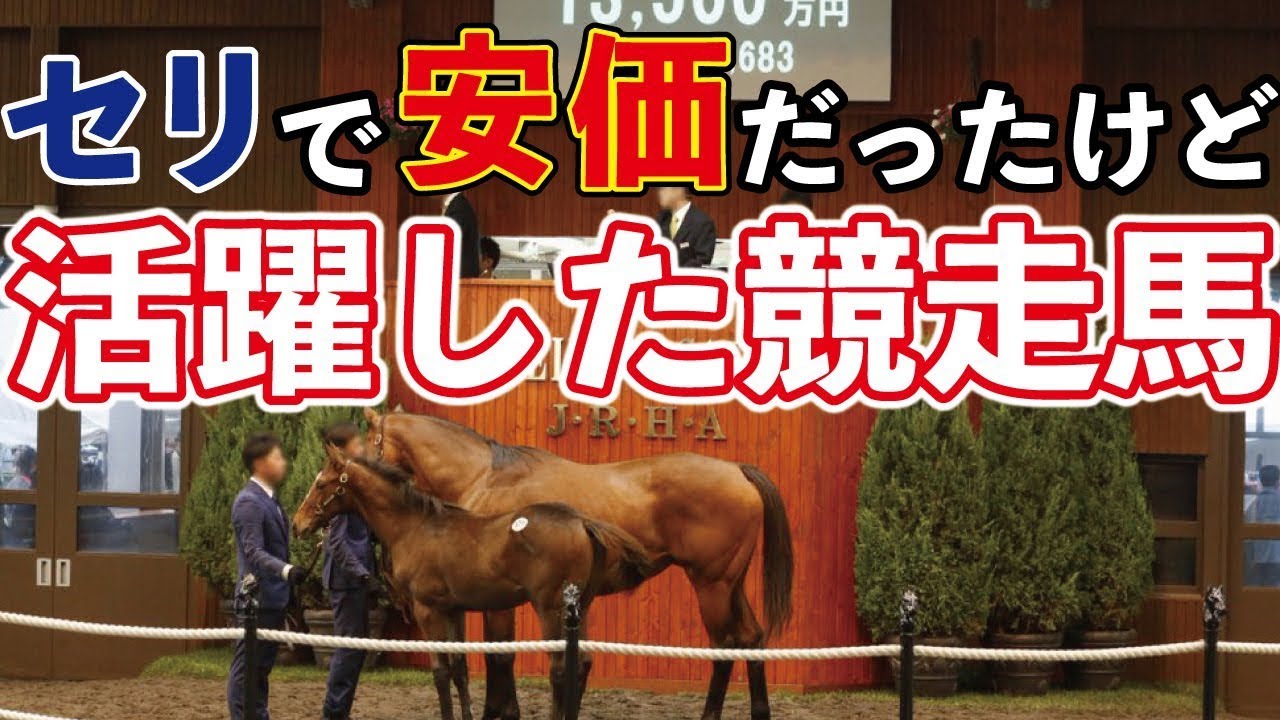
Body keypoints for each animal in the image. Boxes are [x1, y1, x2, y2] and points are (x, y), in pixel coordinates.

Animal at [292, 445, 654, 720]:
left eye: (322, 484)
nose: (298, 524)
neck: (415, 527)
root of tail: (581, 520)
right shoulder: (453, 610)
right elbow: (459, 670)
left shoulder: (428, 611)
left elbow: (440, 673)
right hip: (580, 608)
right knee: (582, 664)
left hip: (550, 608)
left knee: (561, 668)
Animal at [363, 408, 794, 720]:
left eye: (365, 443)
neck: (486, 476)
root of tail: (737, 470)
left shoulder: (498, 600)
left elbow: (500, 656)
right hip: (731, 584)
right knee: (752, 639)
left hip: (711, 585)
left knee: (724, 647)